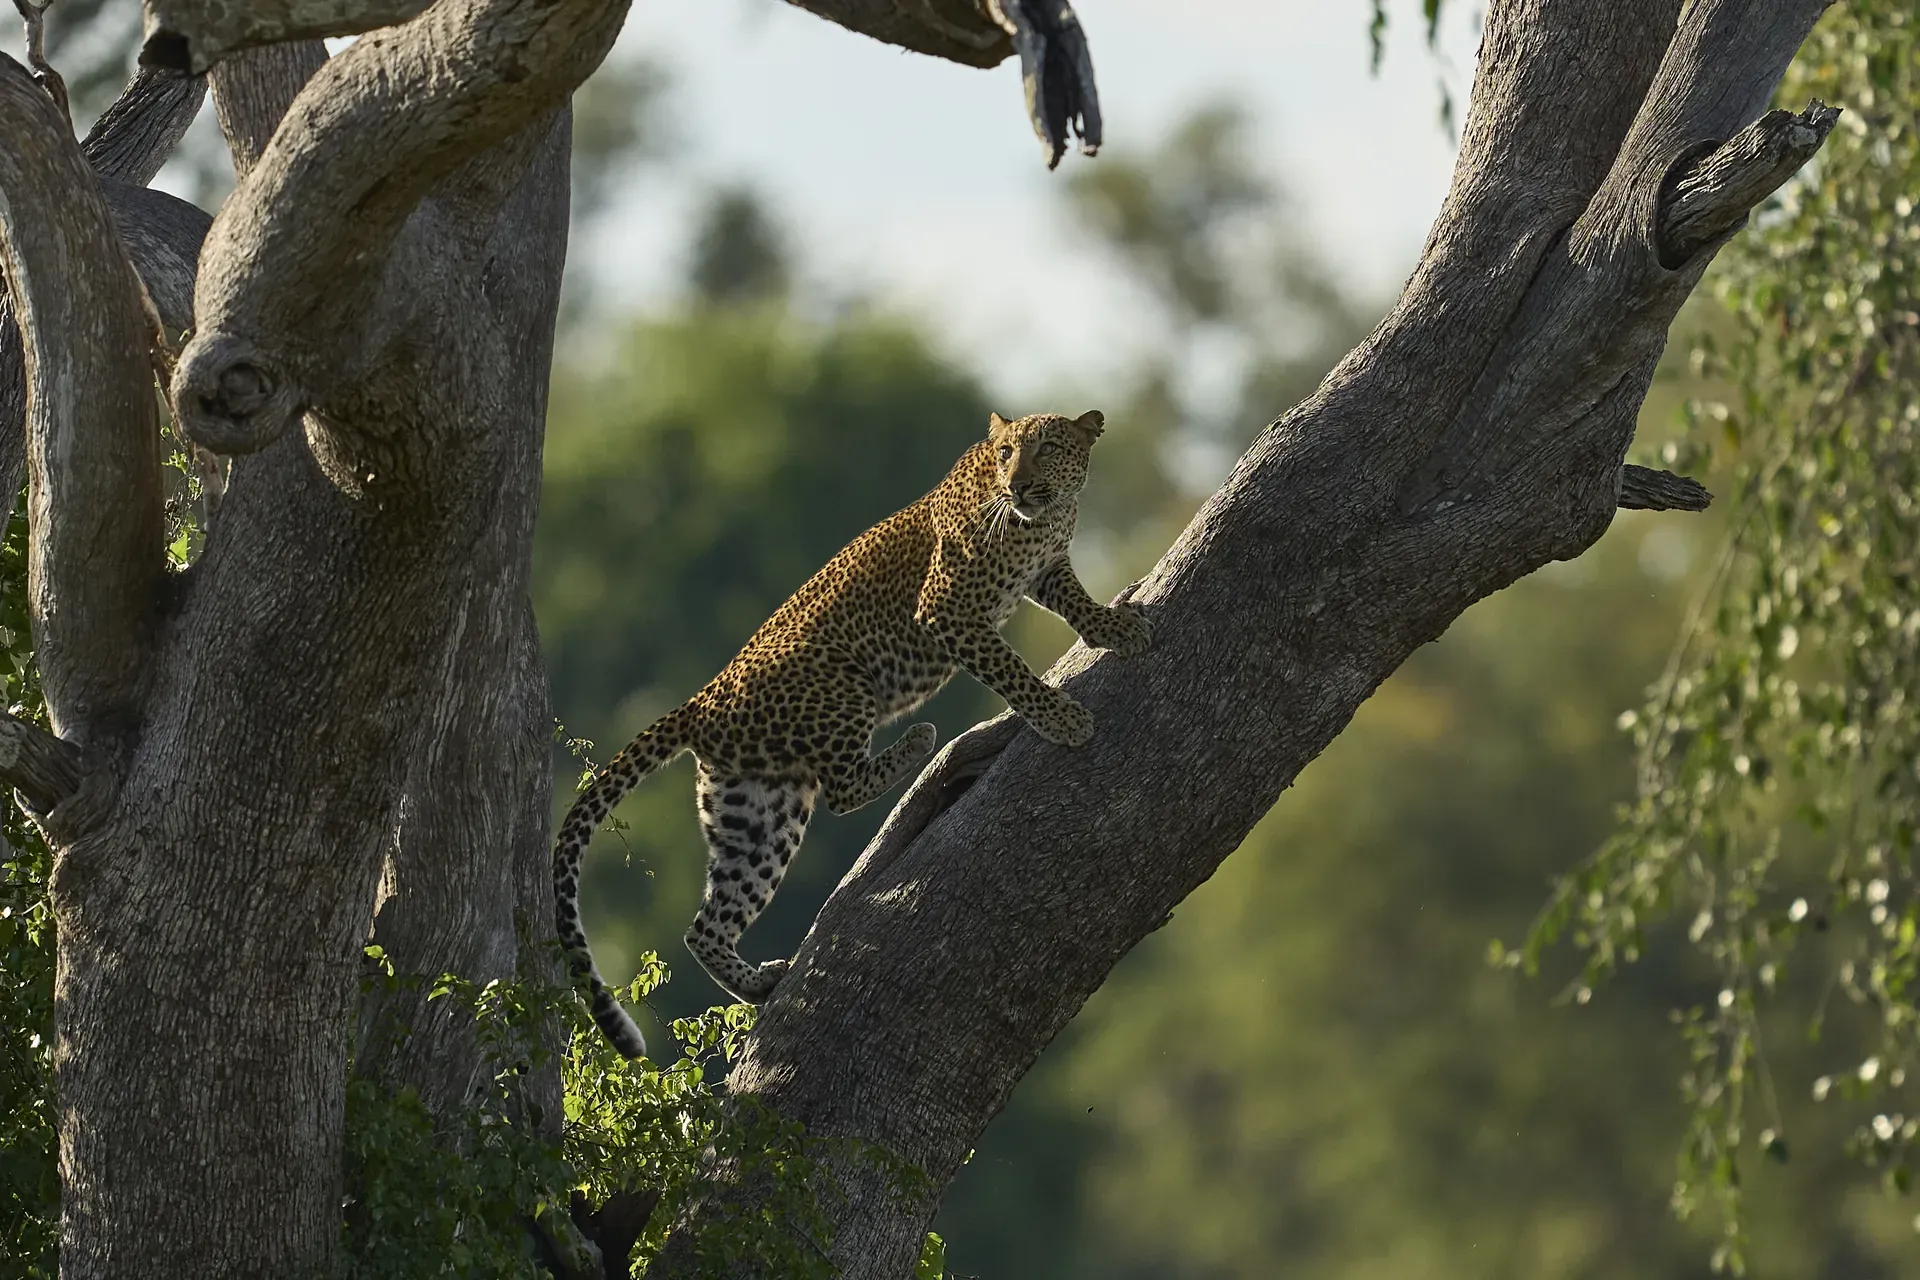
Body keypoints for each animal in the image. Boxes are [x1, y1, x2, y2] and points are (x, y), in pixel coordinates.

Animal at [552, 409, 1150, 1058]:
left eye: (1047, 449)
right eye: (1007, 452)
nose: (1016, 484)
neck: (1043, 518)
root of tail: (701, 702)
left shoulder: (1046, 570)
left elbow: (1076, 602)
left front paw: (1114, 628)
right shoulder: (946, 611)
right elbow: (1009, 669)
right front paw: (1060, 717)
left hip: (759, 813)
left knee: (704, 925)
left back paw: (758, 984)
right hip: (843, 683)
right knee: (840, 788)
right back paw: (922, 742)